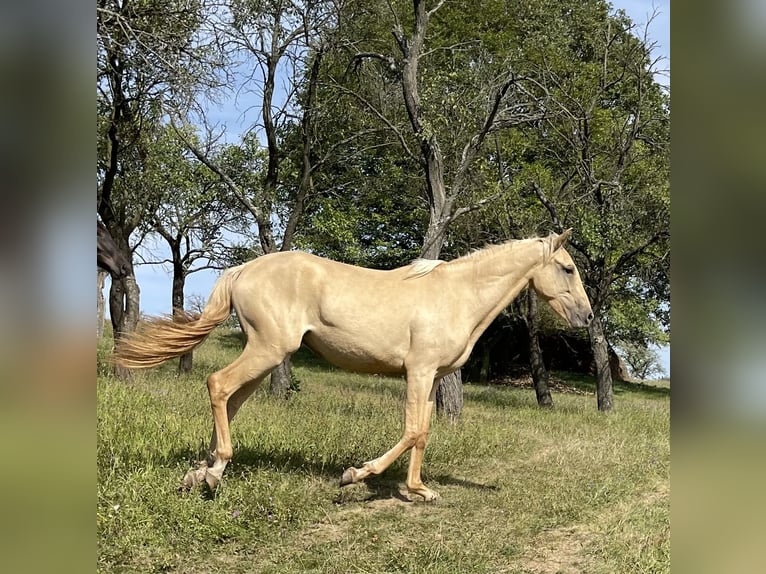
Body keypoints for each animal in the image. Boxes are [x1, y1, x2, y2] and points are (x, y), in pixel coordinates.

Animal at [114, 230, 592, 500]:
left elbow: (423, 432)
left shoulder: (433, 378)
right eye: (567, 268)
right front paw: (355, 477)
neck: (457, 295)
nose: (587, 318)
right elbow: (412, 431)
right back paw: (212, 474)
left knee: (230, 399)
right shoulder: (419, 372)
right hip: (268, 349)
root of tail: (244, 269)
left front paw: (417, 491)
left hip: (266, 355)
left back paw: (205, 473)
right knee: (218, 385)